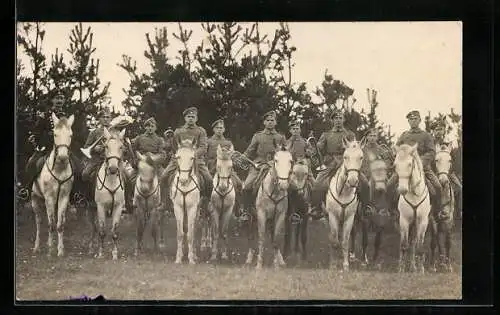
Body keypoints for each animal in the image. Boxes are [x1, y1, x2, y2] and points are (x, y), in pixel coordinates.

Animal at [30, 113, 74, 256]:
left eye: (70, 135)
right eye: (55, 134)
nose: (63, 157)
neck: (59, 169)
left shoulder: (63, 198)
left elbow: (59, 225)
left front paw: (60, 250)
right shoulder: (49, 198)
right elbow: (50, 224)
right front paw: (50, 249)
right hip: (35, 200)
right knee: (39, 222)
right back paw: (37, 247)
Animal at [90, 127, 128, 260]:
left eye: (121, 147)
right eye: (106, 146)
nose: (112, 169)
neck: (111, 181)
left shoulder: (118, 207)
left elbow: (114, 232)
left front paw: (115, 254)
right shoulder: (100, 207)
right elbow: (102, 231)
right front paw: (100, 253)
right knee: (94, 227)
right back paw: (92, 247)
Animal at [324, 139, 364, 272]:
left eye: (361, 157)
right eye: (345, 156)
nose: (352, 181)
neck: (344, 192)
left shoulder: (349, 217)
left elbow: (345, 241)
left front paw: (346, 265)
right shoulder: (332, 216)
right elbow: (334, 240)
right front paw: (333, 264)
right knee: (332, 237)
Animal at [396, 144, 432, 274]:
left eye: (410, 164)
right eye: (395, 164)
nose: (402, 190)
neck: (414, 193)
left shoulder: (422, 221)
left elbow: (419, 246)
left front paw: (421, 269)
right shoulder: (404, 220)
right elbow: (403, 245)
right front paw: (401, 269)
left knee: (414, 243)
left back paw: (414, 267)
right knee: (409, 242)